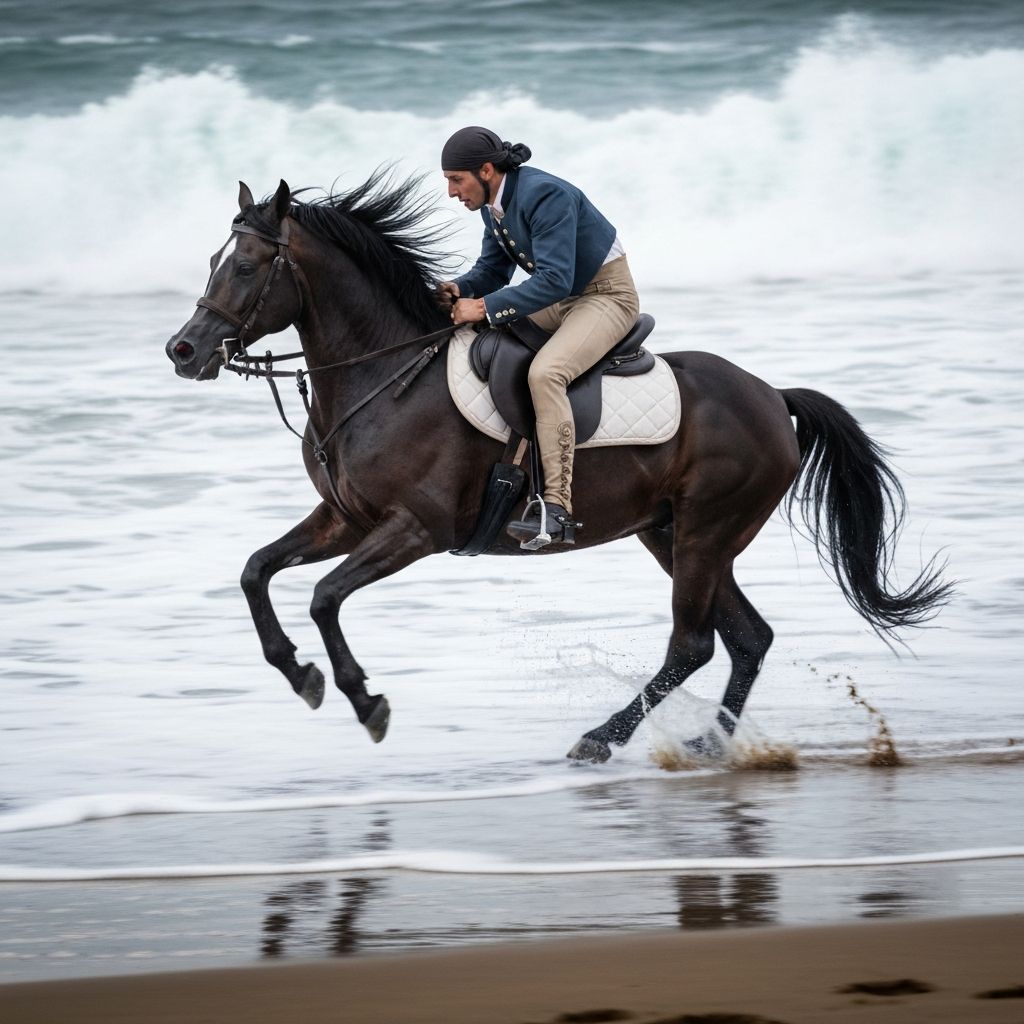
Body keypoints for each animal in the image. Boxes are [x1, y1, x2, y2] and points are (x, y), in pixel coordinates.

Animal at [165, 173, 951, 764]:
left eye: (244, 267)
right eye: (210, 262)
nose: (184, 350)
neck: (385, 376)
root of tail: (772, 396)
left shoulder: (415, 529)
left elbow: (325, 596)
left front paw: (365, 700)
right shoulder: (344, 519)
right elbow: (257, 571)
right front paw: (300, 673)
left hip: (705, 531)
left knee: (693, 643)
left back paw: (603, 738)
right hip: (671, 533)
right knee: (746, 638)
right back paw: (709, 744)